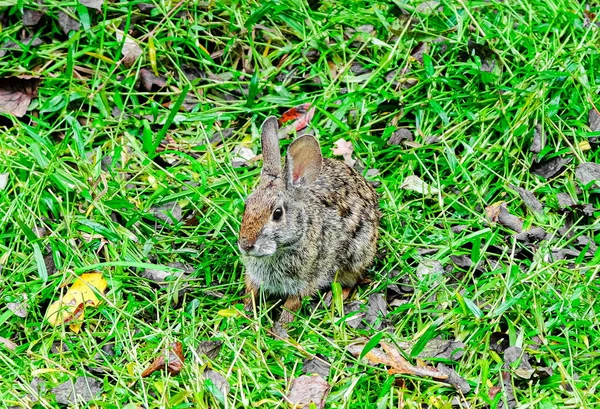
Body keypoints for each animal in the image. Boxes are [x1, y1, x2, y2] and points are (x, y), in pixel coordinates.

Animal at [238, 115, 380, 322]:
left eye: (277, 213)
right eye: (246, 206)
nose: (246, 245)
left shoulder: (305, 282)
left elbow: (292, 305)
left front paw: (281, 326)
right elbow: (252, 292)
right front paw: (247, 313)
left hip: (357, 254)